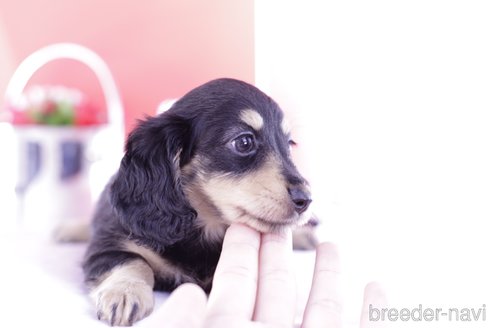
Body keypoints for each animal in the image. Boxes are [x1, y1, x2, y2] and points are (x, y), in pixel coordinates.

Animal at [83, 79, 318, 326]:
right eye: (244, 142)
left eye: (289, 144)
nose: (306, 200)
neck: (202, 228)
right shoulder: (105, 247)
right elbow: (132, 261)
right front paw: (125, 292)